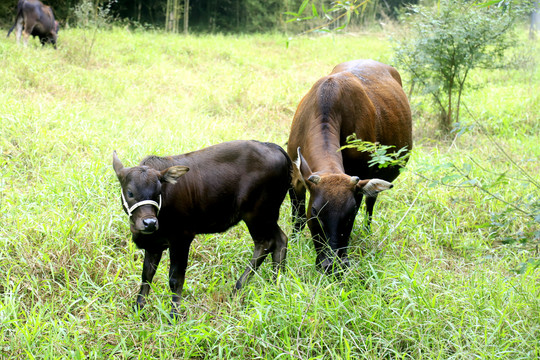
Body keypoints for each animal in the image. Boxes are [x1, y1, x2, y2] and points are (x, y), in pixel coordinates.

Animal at [112, 141, 294, 320]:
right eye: (130, 192)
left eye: (158, 193)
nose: (149, 223)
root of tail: (273, 147)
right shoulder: (154, 244)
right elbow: (146, 275)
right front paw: (138, 309)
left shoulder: (182, 238)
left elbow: (175, 279)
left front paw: (174, 316)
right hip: (267, 216)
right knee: (280, 240)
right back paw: (276, 285)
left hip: (257, 214)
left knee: (265, 243)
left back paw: (237, 291)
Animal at [288, 59, 412, 272]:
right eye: (315, 211)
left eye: (351, 212)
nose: (332, 265)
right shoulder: (295, 177)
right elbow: (299, 218)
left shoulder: (359, 183)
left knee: (371, 203)